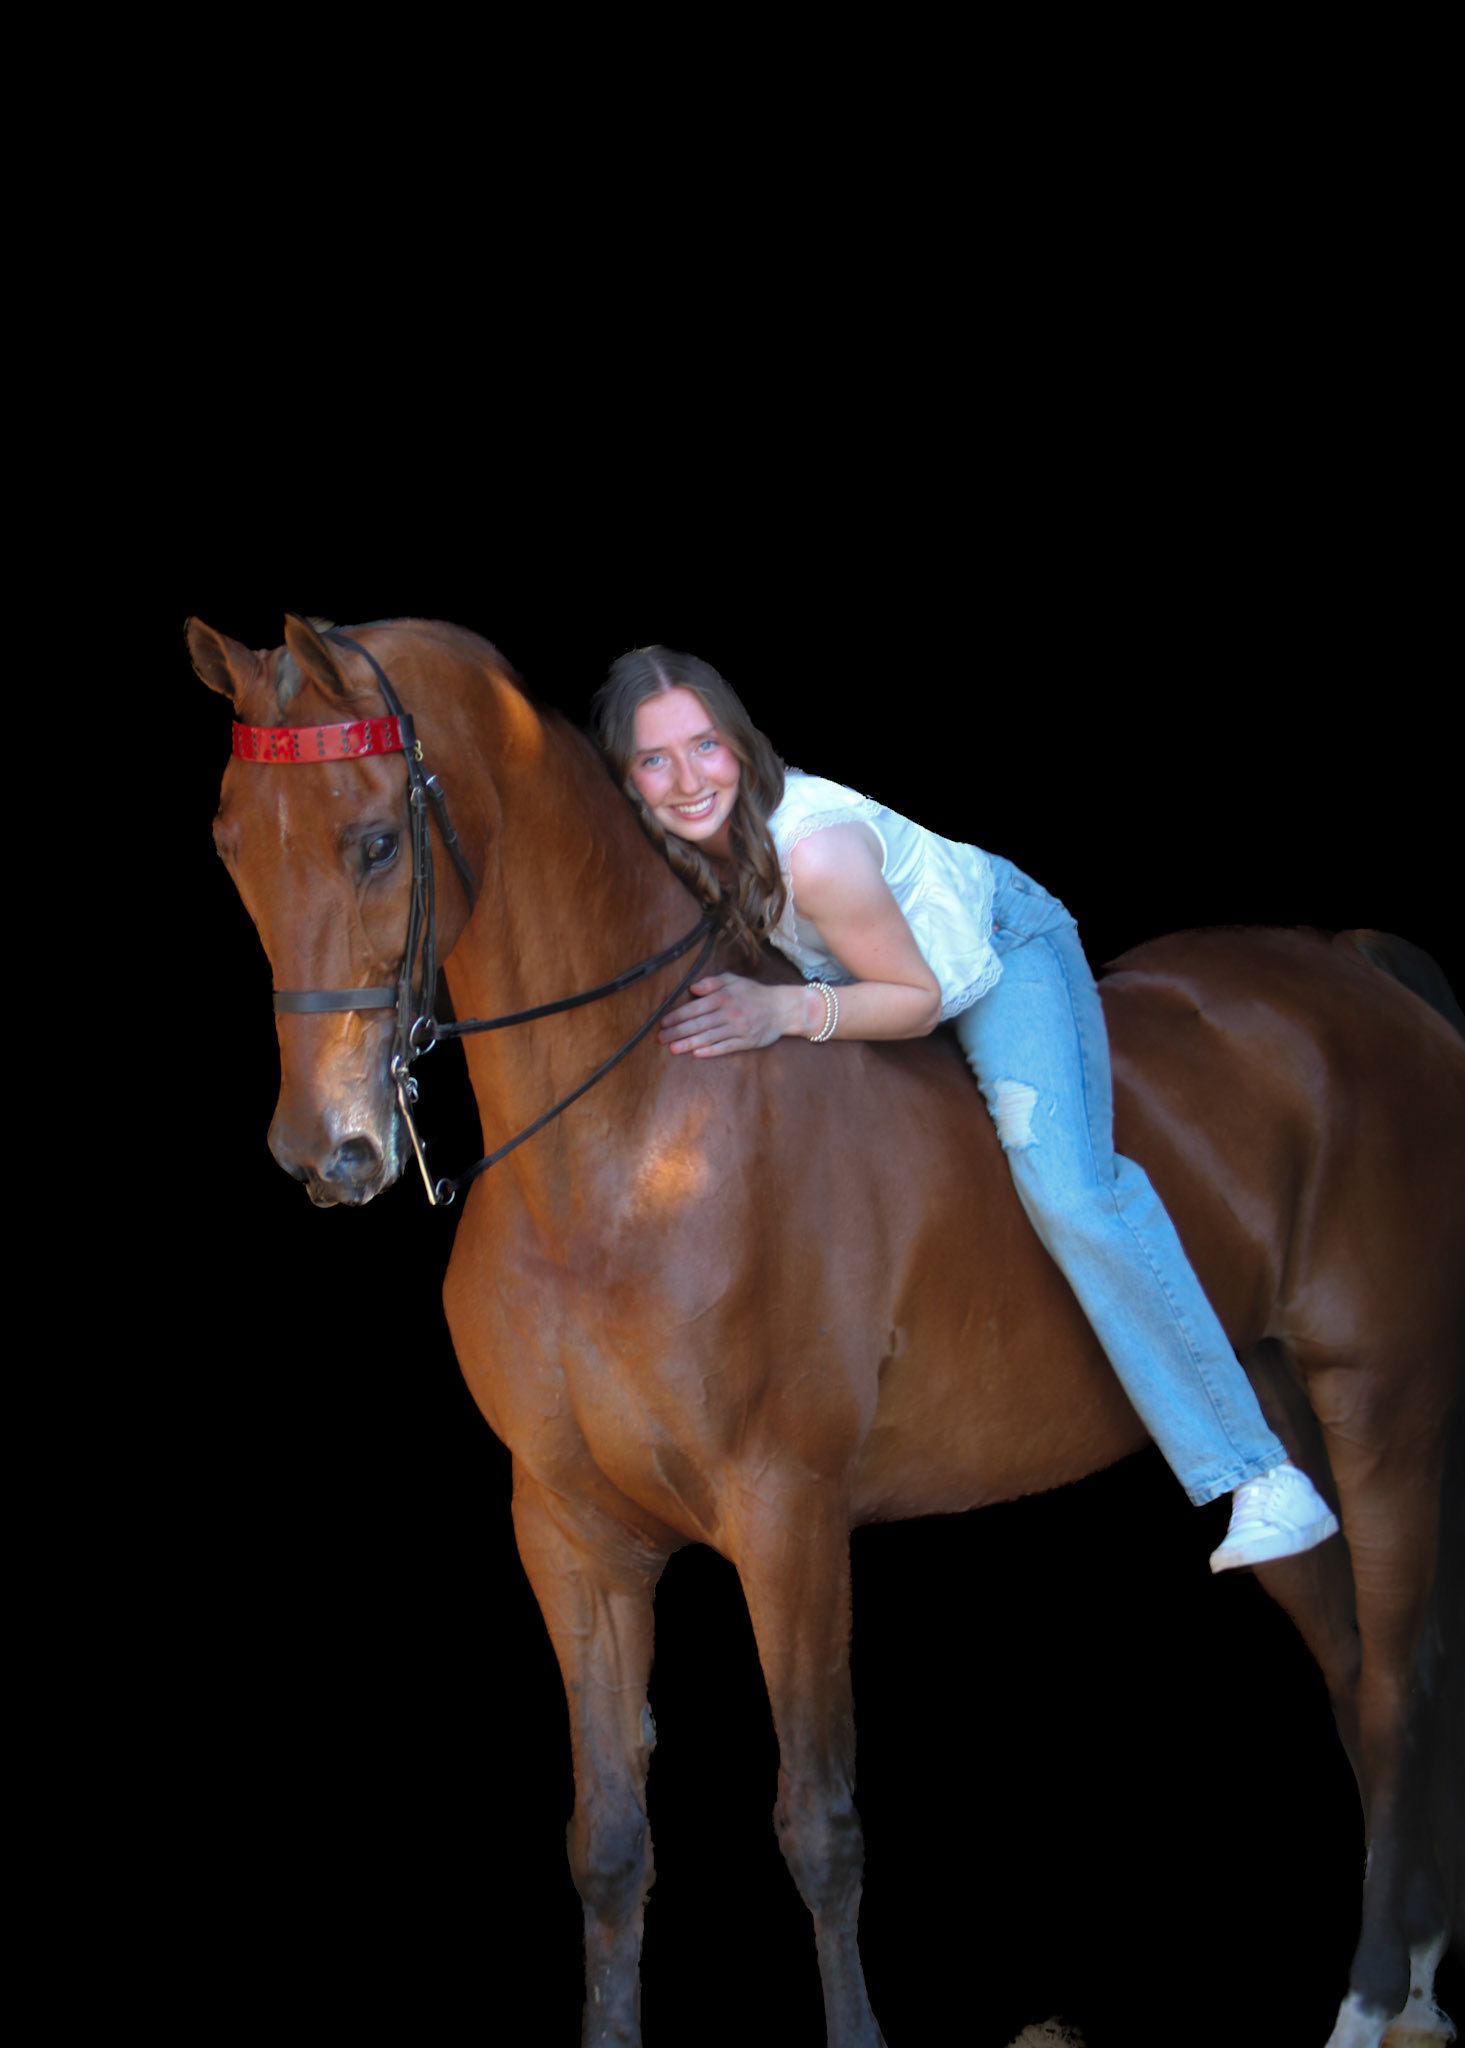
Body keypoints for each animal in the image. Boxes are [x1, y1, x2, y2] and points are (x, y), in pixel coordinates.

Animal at [191, 612, 1464, 2048]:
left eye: (372, 843)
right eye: (232, 844)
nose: (326, 1151)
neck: (632, 1145)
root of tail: (1352, 967)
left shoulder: (788, 1516)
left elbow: (818, 1823)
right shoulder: (571, 1537)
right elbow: (609, 1840)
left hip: (1381, 1403)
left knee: (1397, 1682)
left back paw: (1373, 1993)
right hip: (1267, 1406)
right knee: (1354, 1663)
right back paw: (1413, 1972)